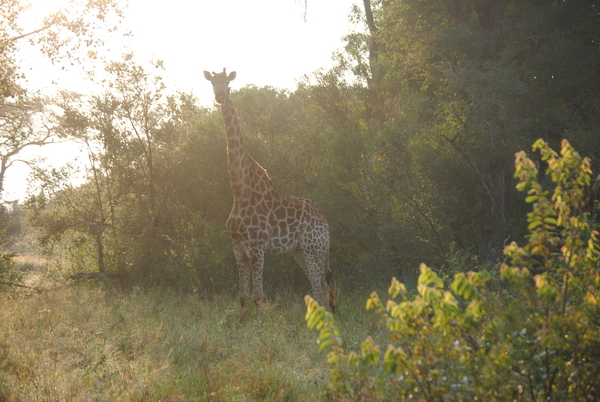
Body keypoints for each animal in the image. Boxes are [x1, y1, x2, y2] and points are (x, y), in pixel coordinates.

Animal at [205, 67, 338, 322]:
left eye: (229, 84)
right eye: (212, 83)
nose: (219, 97)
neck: (239, 190)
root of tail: (326, 222)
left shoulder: (257, 247)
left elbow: (258, 295)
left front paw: (258, 324)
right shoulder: (238, 248)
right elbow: (242, 295)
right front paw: (242, 324)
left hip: (314, 248)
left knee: (322, 287)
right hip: (300, 251)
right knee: (319, 287)